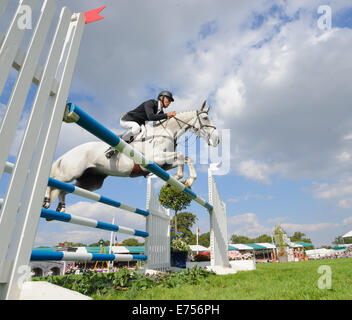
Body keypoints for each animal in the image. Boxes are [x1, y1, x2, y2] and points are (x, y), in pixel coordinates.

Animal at [43, 101, 220, 211]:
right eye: (205, 118)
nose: (217, 140)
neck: (167, 131)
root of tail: (68, 153)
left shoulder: (162, 164)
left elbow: (185, 158)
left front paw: (185, 181)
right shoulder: (155, 159)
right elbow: (183, 156)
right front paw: (180, 177)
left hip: (90, 182)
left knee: (63, 190)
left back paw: (61, 208)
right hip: (71, 172)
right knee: (53, 182)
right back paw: (45, 201)